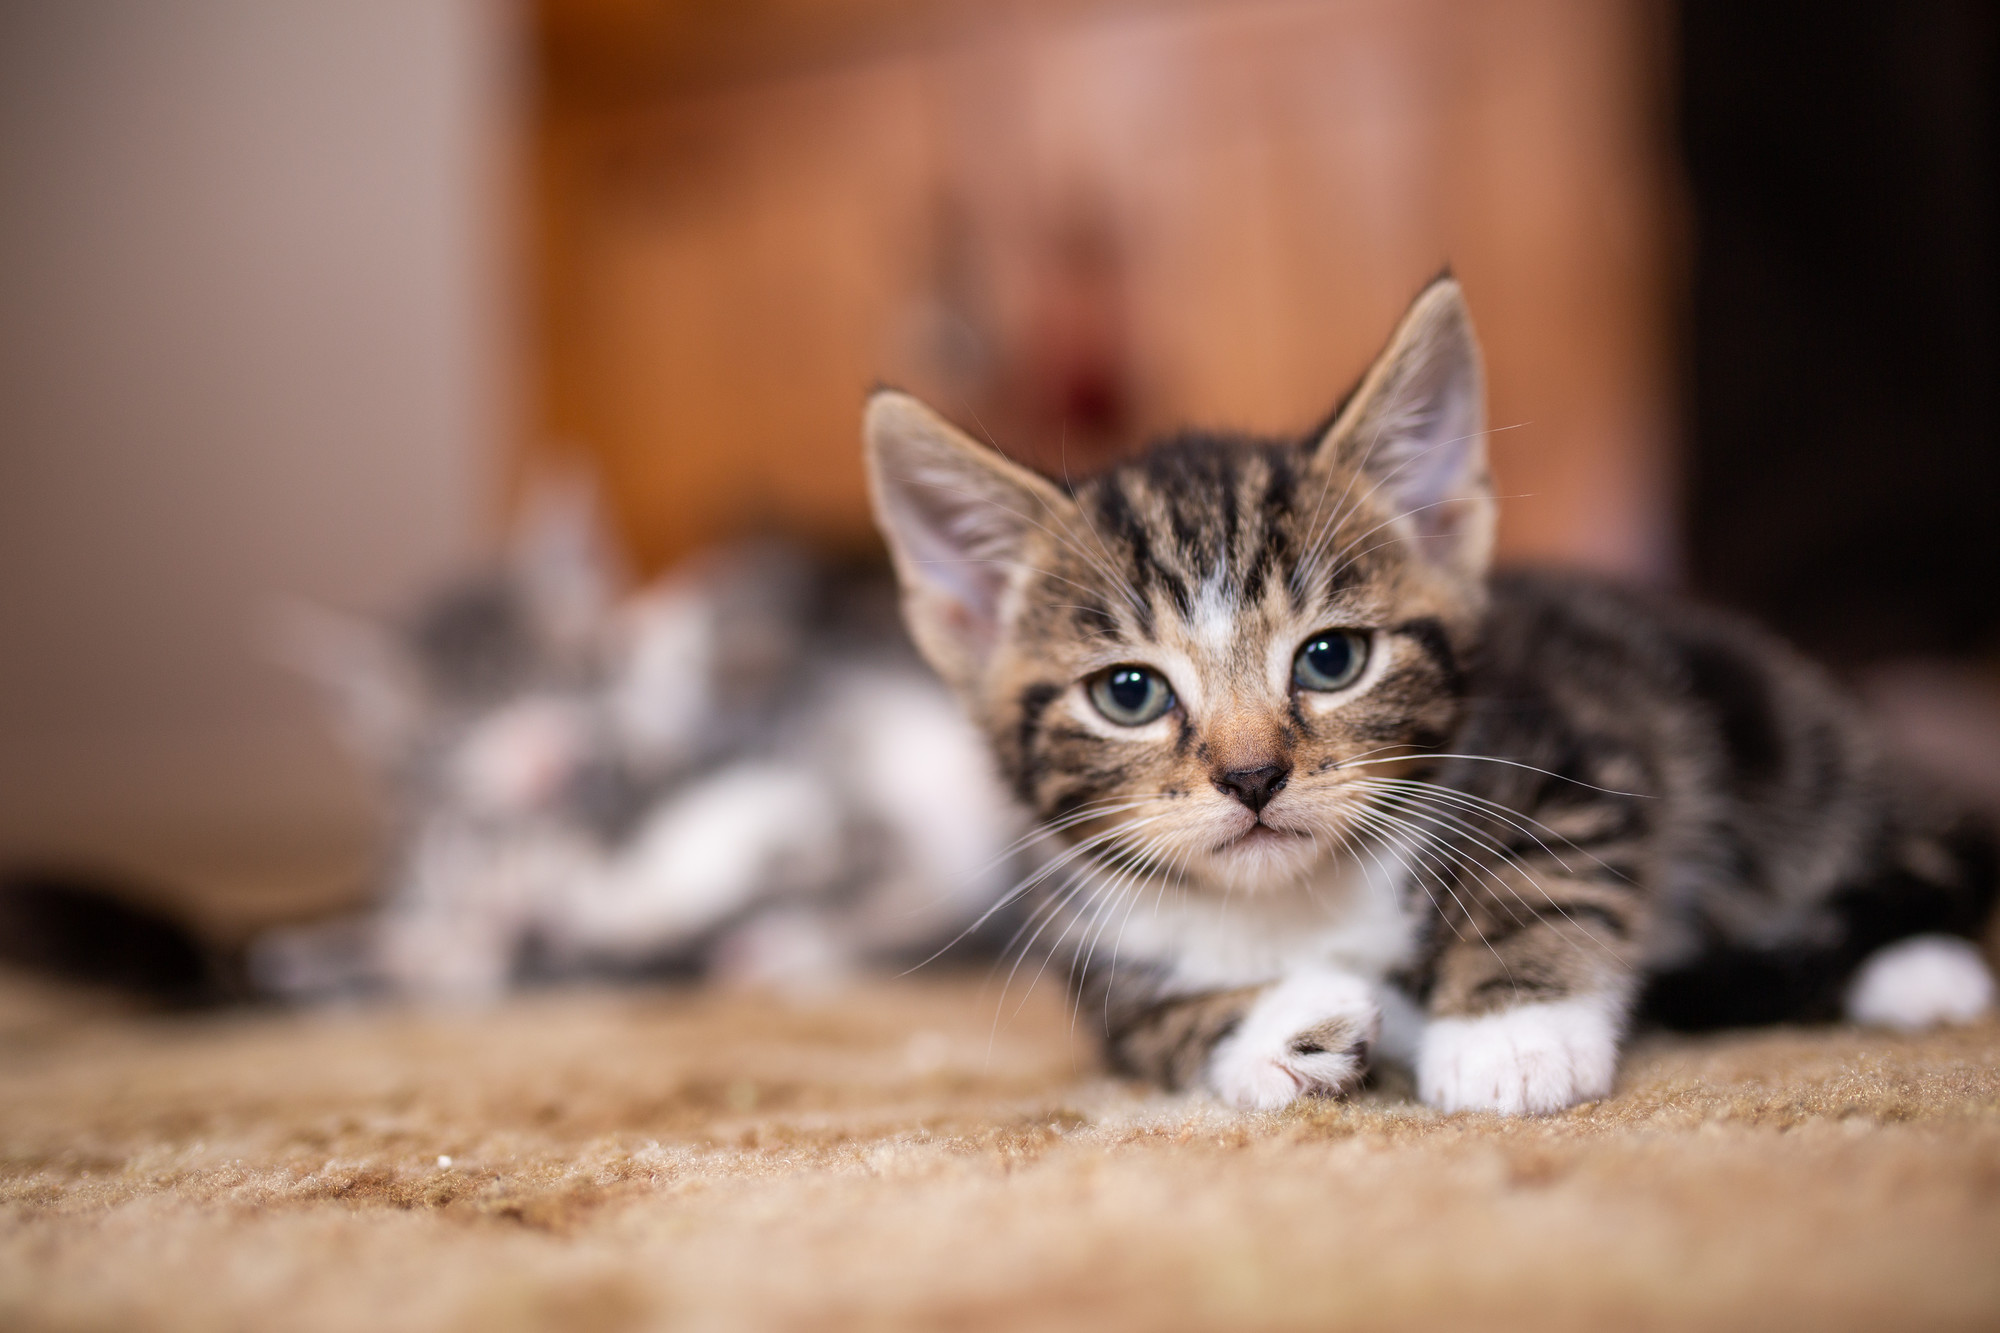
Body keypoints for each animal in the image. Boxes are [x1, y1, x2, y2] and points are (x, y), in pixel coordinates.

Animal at [868, 278, 1992, 1112]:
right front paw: (1277, 1026)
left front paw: (1510, 1037)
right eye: (1130, 692)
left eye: (1331, 659)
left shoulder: (1574, 744)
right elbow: (1144, 1021)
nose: (1251, 776)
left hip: (1773, 731)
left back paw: (1920, 970)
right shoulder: (1077, 929)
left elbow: (1542, 873)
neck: (1291, 898)